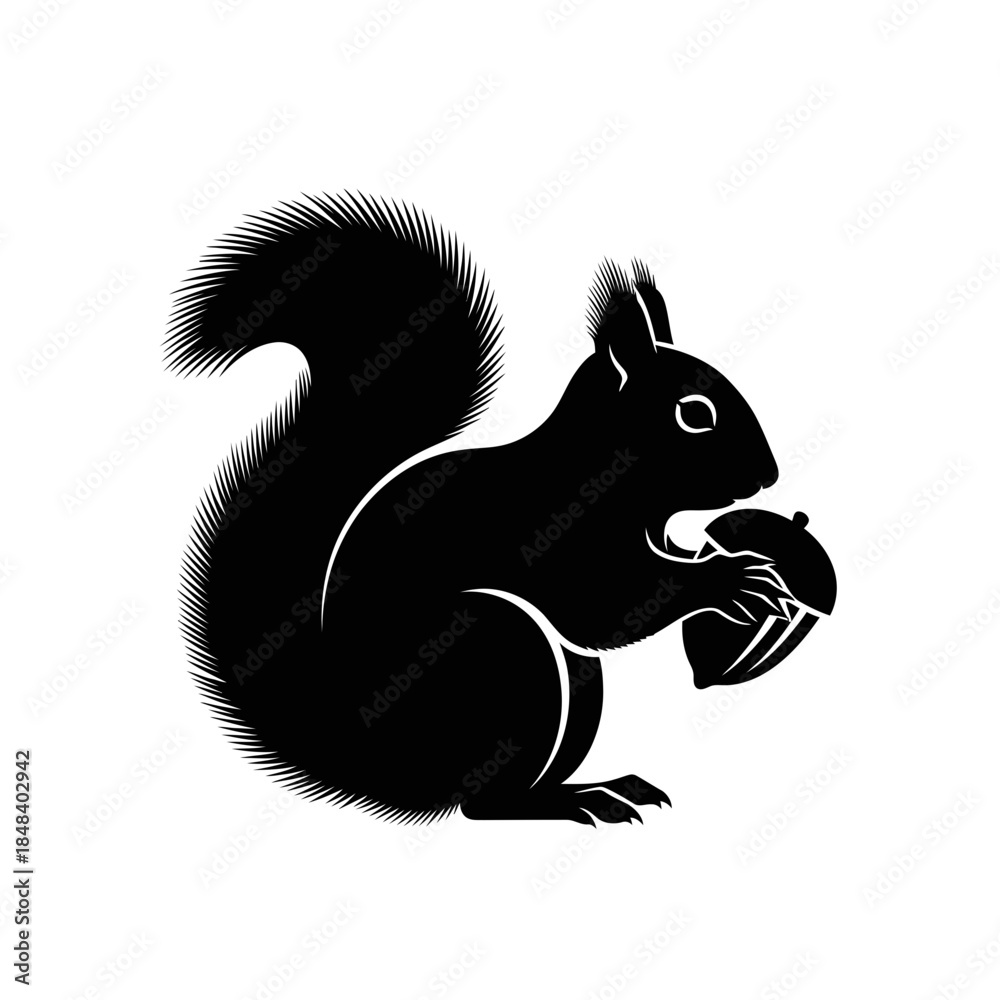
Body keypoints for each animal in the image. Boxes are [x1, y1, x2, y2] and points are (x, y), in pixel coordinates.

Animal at [166, 192, 792, 825]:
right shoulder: (560, 528)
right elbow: (610, 603)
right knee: (482, 803)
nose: (767, 477)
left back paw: (599, 789)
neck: (605, 469)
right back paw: (576, 801)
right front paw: (732, 579)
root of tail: (372, 761)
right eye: (694, 413)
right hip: (501, 651)